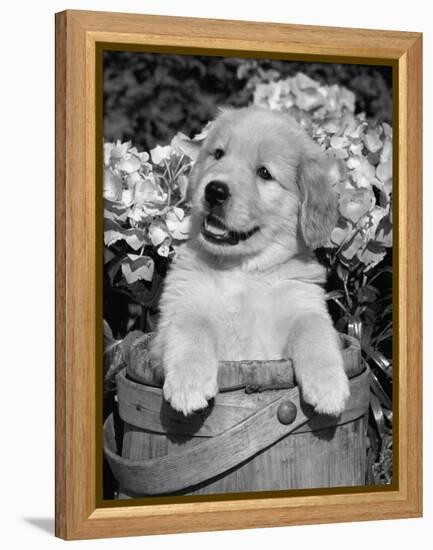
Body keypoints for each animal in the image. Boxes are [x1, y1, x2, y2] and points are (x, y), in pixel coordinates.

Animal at [150, 106, 350, 418]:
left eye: (264, 173)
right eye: (218, 154)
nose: (214, 191)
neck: (241, 269)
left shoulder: (304, 304)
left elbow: (314, 330)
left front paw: (328, 387)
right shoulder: (176, 311)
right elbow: (190, 327)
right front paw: (188, 384)